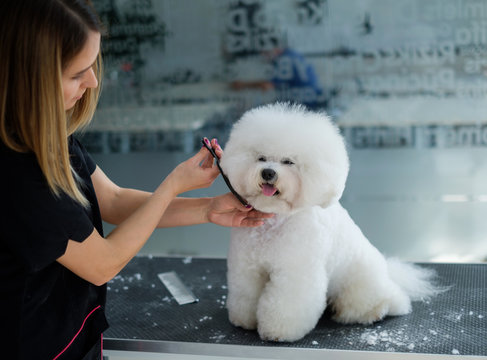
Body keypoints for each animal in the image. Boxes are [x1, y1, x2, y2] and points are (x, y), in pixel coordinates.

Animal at [221, 102, 442, 344]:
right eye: (260, 158)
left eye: (289, 162)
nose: (268, 172)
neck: (276, 221)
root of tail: (388, 274)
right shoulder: (247, 268)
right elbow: (246, 294)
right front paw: (244, 320)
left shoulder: (296, 272)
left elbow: (286, 303)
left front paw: (278, 332)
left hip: (359, 284)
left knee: (379, 301)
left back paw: (373, 310)